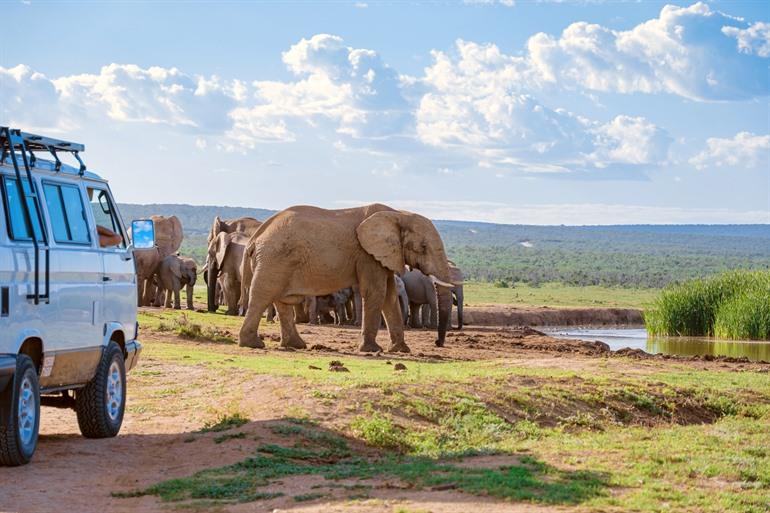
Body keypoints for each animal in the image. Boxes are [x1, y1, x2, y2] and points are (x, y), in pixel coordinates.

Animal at [238, 203, 454, 353]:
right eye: (423, 247)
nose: (437, 343)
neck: (397, 214)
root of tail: (255, 237)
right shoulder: (367, 255)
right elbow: (376, 292)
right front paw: (372, 350)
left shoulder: (383, 256)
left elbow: (389, 297)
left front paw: (401, 350)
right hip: (274, 259)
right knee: (262, 296)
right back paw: (253, 344)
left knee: (281, 301)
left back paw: (296, 345)